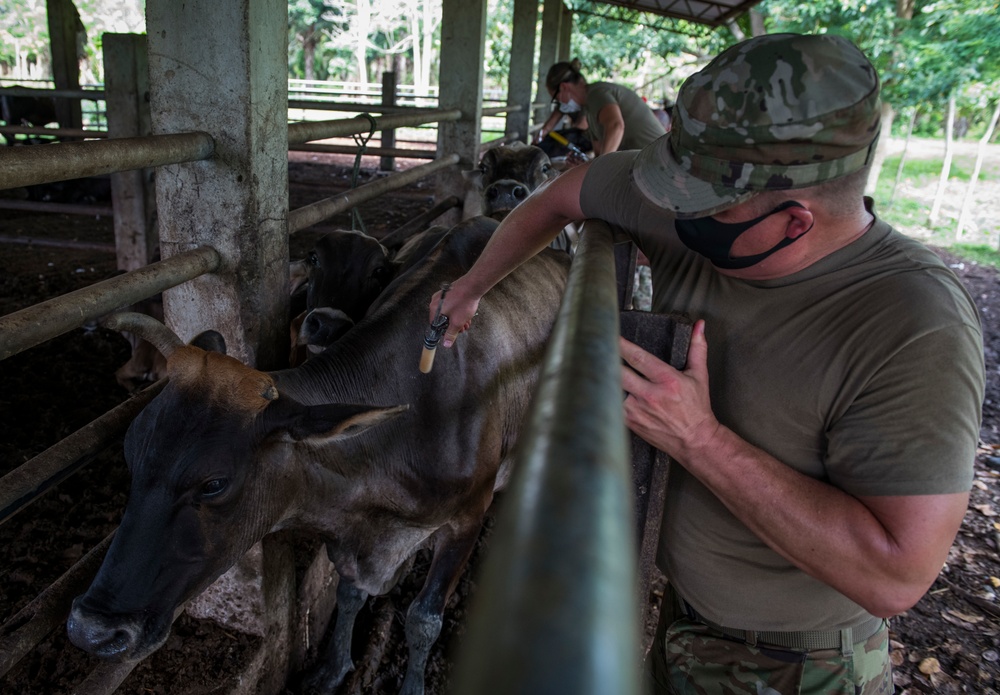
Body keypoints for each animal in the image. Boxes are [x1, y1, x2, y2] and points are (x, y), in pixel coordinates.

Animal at [66, 223, 572, 695]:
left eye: (214, 483)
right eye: (130, 451)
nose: (93, 630)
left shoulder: (466, 519)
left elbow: (424, 620)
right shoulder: (353, 533)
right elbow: (349, 595)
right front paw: (332, 669)